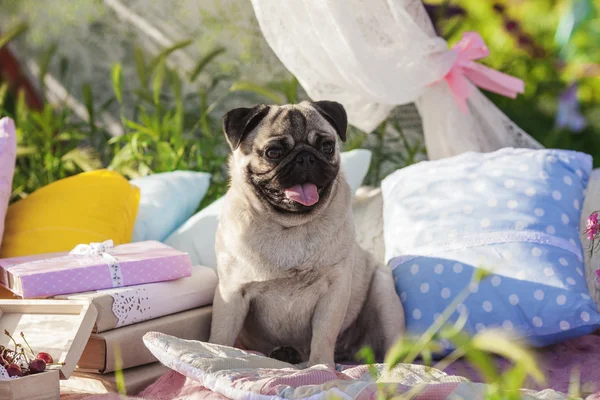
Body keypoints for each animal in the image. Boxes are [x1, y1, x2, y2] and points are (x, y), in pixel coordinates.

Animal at [209, 100, 406, 366]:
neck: (290, 227)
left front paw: (321, 366)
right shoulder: (231, 291)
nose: (305, 157)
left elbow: (323, 336)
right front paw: (218, 354)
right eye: (273, 152)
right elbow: (221, 335)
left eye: (327, 146)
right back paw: (284, 353)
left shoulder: (333, 291)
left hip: (384, 293)